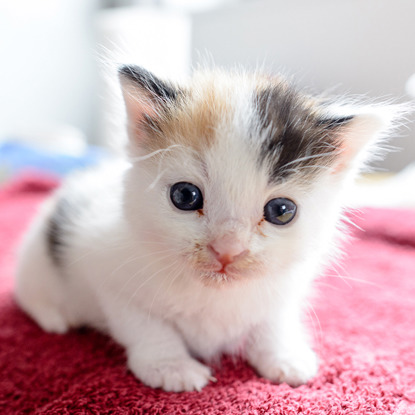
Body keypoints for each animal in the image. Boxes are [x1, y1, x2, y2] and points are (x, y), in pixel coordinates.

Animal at [16, 66, 400, 394]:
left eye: (281, 211)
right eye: (185, 196)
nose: (228, 249)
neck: (212, 291)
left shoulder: (283, 288)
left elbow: (272, 321)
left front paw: (284, 356)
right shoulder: (108, 275)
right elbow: (144, 324)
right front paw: (171, 367)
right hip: (36, 262)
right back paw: (56, 317)